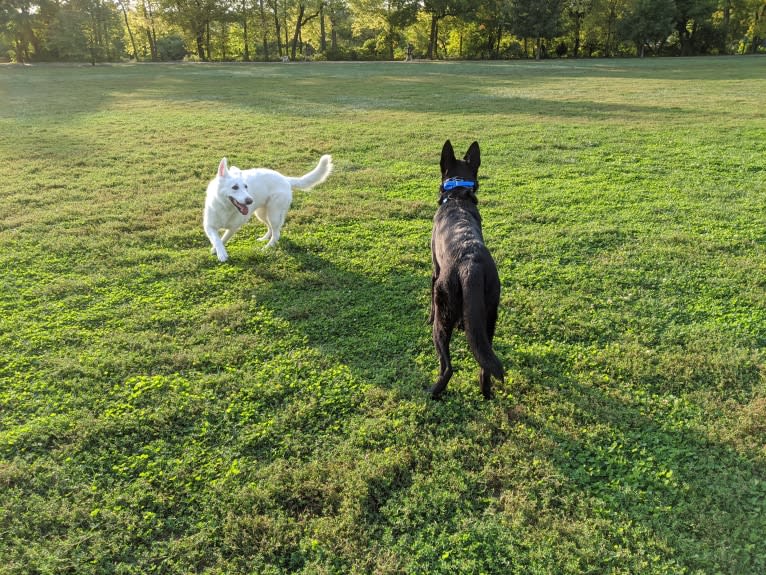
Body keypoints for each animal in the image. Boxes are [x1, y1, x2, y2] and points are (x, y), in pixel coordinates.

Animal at [204, 153, 332, 260]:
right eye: (234, 187)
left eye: (246, 186)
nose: (250, 200)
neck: (226, 207)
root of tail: (285, 178)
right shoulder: (209, 226)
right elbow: (217, 239)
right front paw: (217, 251)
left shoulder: (233, 228)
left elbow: (223, 238)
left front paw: (220, 253)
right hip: (262, 214)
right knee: (270, 228)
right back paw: (264, 239)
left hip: (273, 214)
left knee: (276, 234)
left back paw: (267, 247)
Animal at [432, 141, 504, 400]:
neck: (457, 196)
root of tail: (469, 264)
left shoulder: (434, 270)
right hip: (489, 315)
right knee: (485, 364)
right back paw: (486, 392)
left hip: (442, 316)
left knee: (447, 367)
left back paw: (433, 392)